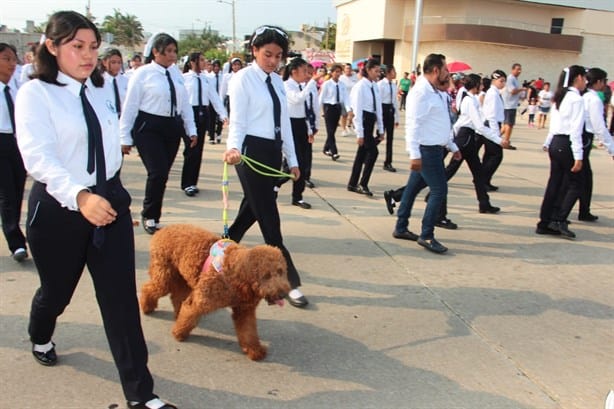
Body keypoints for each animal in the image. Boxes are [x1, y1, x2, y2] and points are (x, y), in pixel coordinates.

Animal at [141, 223, 292, 360]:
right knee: (148, 288)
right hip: (164, 274)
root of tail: (161, 230)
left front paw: (254, 350)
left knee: (177, 297)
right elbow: (189, 314)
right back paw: (147, 307)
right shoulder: (200, 300)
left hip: (181, 277)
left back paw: (176, 314)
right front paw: (179, 333)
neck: (234, 274)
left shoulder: (244, 310)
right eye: (266, 276)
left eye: (281, 271)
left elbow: (249, 332)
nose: (283, 294)